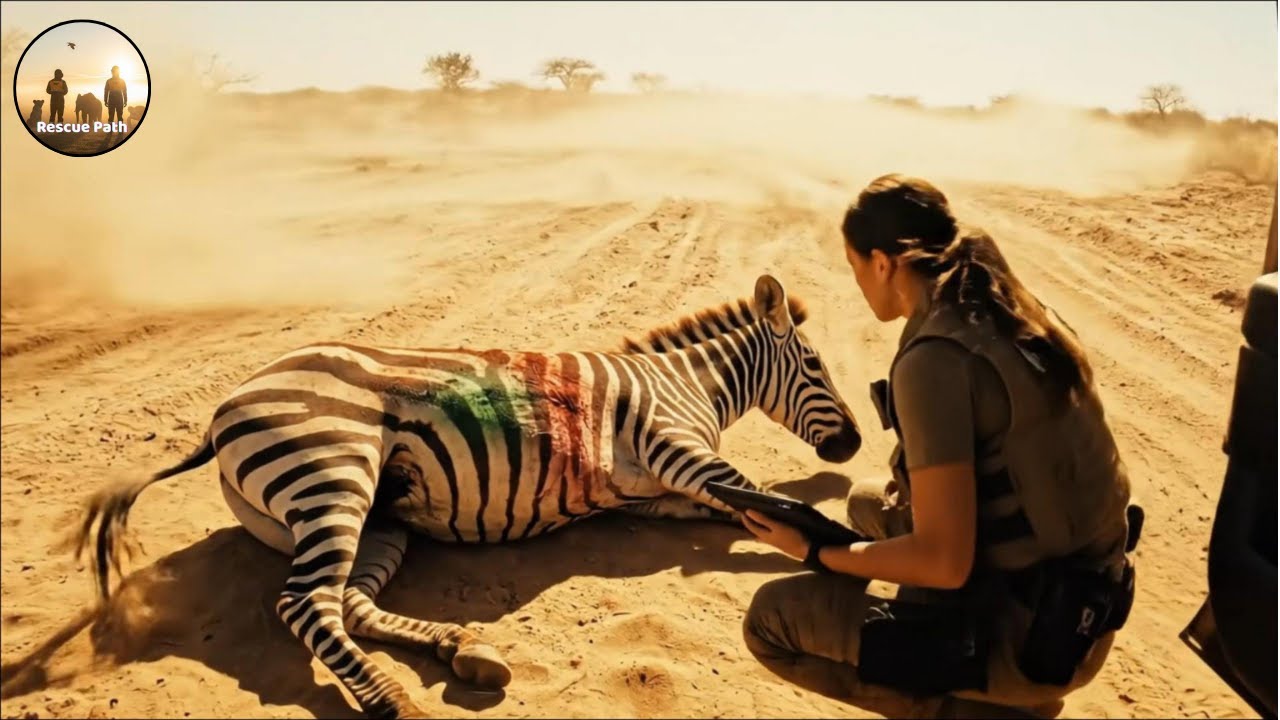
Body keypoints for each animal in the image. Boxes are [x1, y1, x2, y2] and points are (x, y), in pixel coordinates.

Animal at [67, 273, 863, 719]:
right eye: (817, 366)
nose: (855, 445)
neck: (686, 386)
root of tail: (223, 408)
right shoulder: (677, 449)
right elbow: (772, 501)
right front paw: (843, 544)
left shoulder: (657, 492)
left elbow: (750, 509)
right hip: (335, 473)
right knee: (306, 604)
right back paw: (394, 703)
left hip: (376, 518)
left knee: (348, 603)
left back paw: (464, 651)